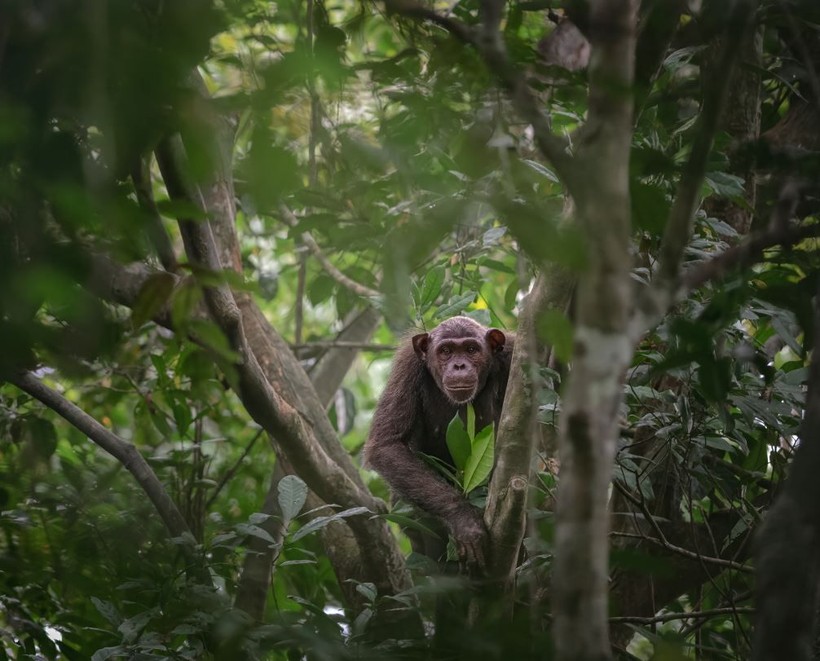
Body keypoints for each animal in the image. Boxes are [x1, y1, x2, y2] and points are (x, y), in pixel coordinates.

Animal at [366, 314, 512, 568]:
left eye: (471, 349)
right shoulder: (408, 365)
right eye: (446, 351)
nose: (459, 365)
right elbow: (387, 444)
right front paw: (464, 520)